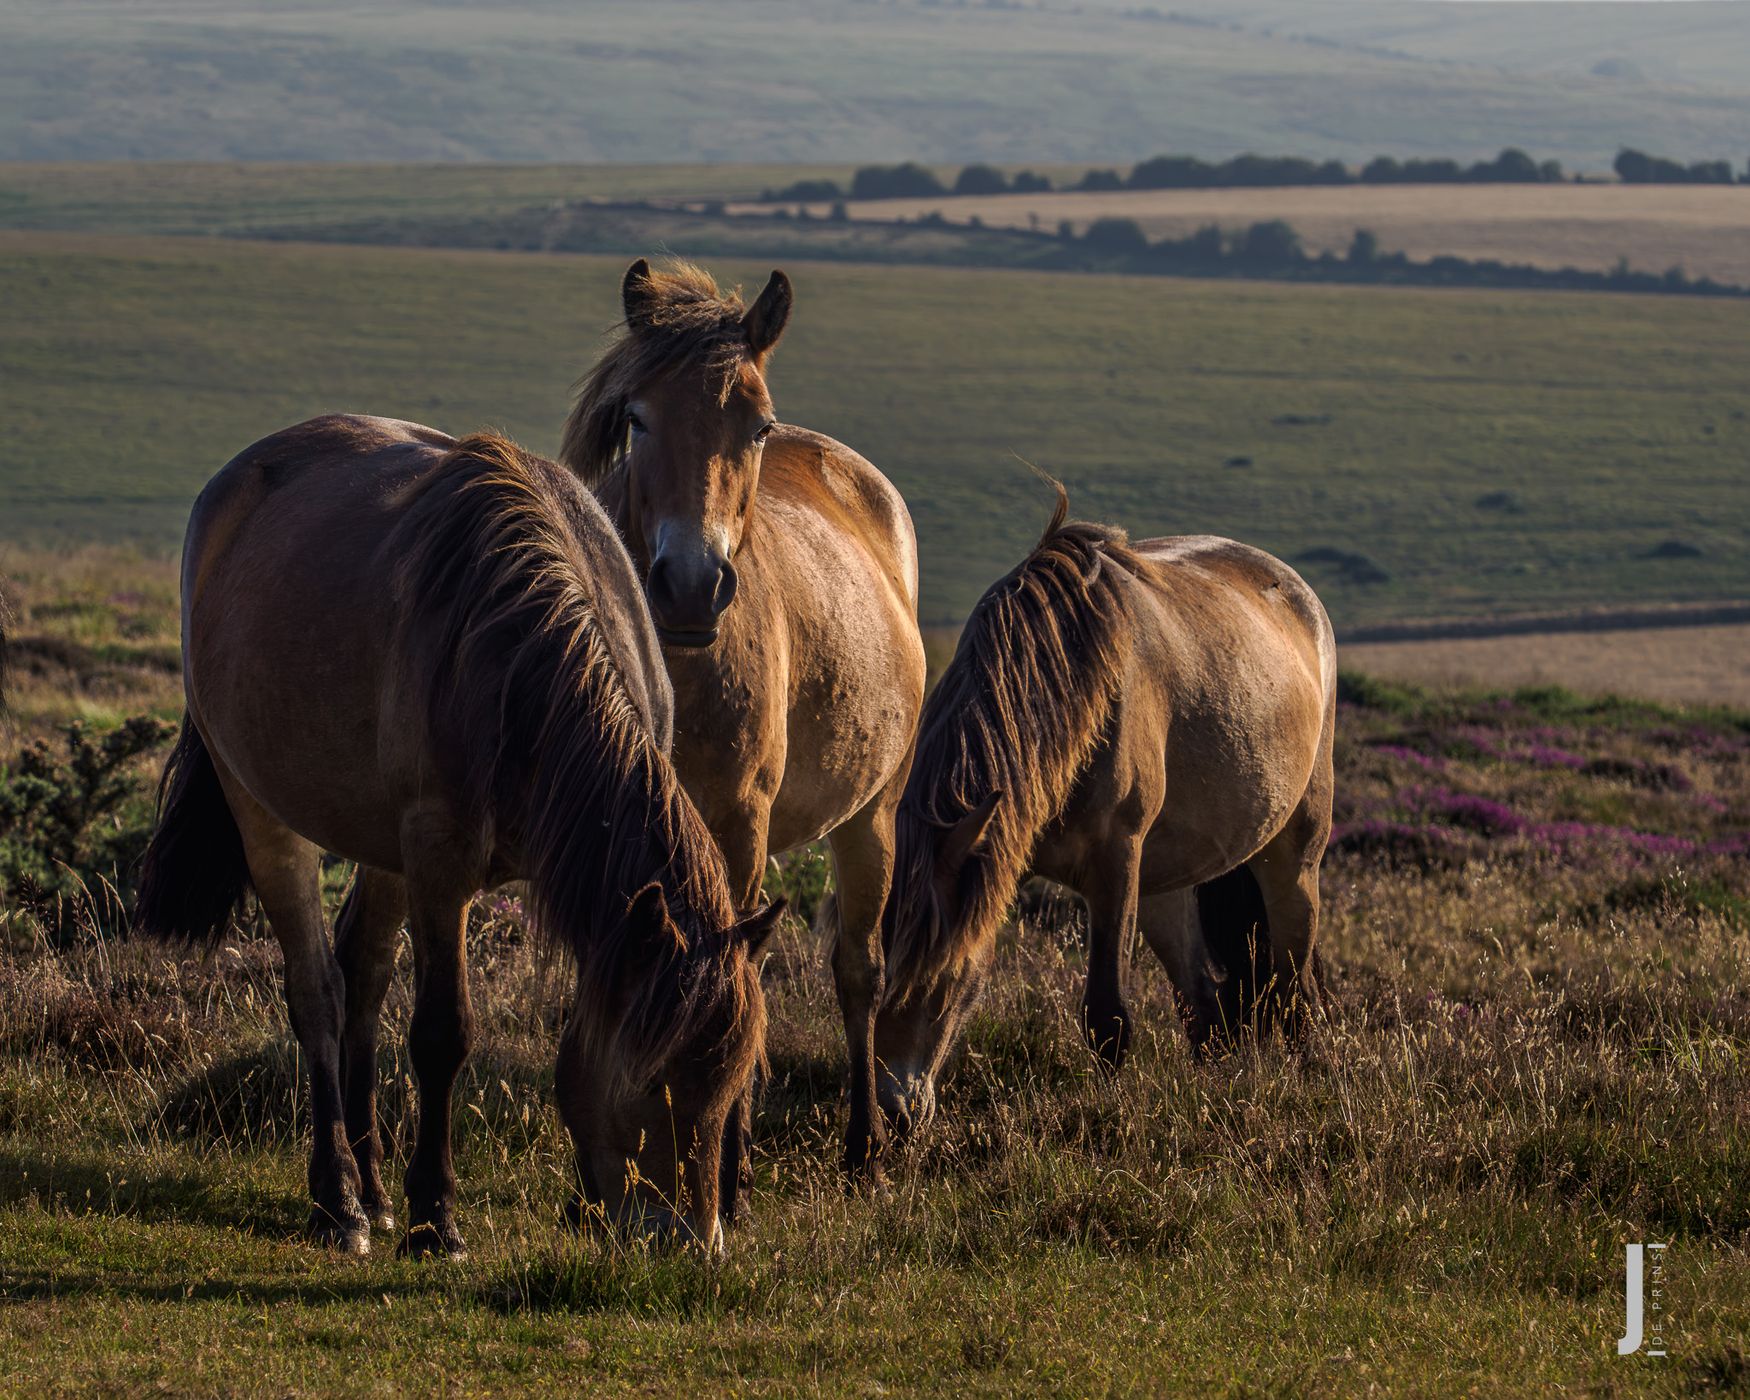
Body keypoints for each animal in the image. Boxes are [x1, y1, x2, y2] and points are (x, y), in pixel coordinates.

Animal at [135, 417, 780, 1254]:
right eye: (652, 1078)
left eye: (732, 1081)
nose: (690, 1242)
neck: (518, 662)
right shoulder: (441, 864)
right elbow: (443, 1033)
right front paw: (435, 1215)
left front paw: (580, 1203)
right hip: (266, 814)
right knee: (317, 993)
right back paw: (339, 1202)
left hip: (382, 844)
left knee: (363, 976)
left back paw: (372, 1191)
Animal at [560, 260, 926, 1179]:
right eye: (636, 418)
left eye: (755, 426)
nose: (691, 586)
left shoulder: (737, 820)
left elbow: (740, 967)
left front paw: (727, 1155)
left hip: (871, 817)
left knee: (856, 968)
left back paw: (863, 1143)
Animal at [871, 489, 1336, 1137]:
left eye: (942, 979)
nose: (895, 1114)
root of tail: (1299, 595)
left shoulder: (1115, 862)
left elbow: (1107, 1017)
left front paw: (1111, 1117)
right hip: (1168, 879)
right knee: (1204, 1001)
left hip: (1291, 857)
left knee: (1292, 988)